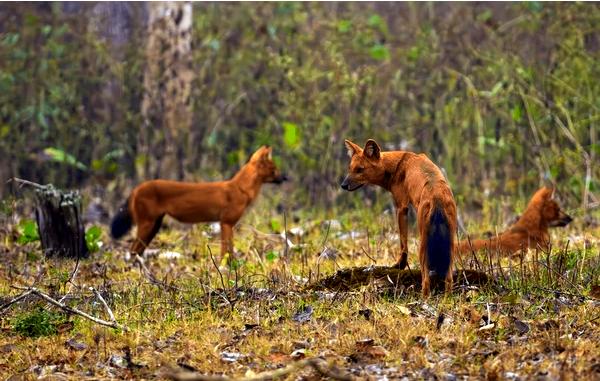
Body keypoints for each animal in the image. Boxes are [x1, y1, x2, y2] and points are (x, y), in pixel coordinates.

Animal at [111, 147, 288, 256]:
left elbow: (228, 251)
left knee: (136, 252)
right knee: (132, 251)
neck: (240, 189)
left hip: (155, 225)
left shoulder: (226, 224)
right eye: (274, 169)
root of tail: (136, 189)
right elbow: (226, 252)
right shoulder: (226, 223)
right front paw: (226, 270)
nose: (285, 178)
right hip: (147, 224)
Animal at [340, 138, 458, 296]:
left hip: (423, 242)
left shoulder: (401, 207)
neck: (396, 165)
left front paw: (399, 265)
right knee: (449, 278)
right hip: (450, 242)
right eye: (350, 168)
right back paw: (446, 298)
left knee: (426, 281)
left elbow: (403, 242)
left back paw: (424, 297)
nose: (343, 185)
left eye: (360, 169)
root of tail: (437, 197)